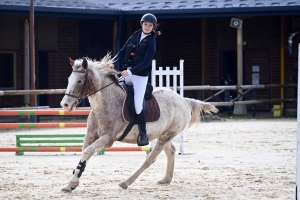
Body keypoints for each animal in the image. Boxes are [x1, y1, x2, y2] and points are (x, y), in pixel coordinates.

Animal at [59, 54, 217, 192]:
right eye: (69, 79)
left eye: (79, 81)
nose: (65, 104)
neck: (105, 104)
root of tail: (182, 99)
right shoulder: (91, 135)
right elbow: (83, 154)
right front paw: (71, 183)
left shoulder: (107, 138)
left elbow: (86, 152)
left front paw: (73, 183)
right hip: (162, 134)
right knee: (171, 151)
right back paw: (166, 179)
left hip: (167, 134)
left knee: (150, 159)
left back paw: (126, 182)